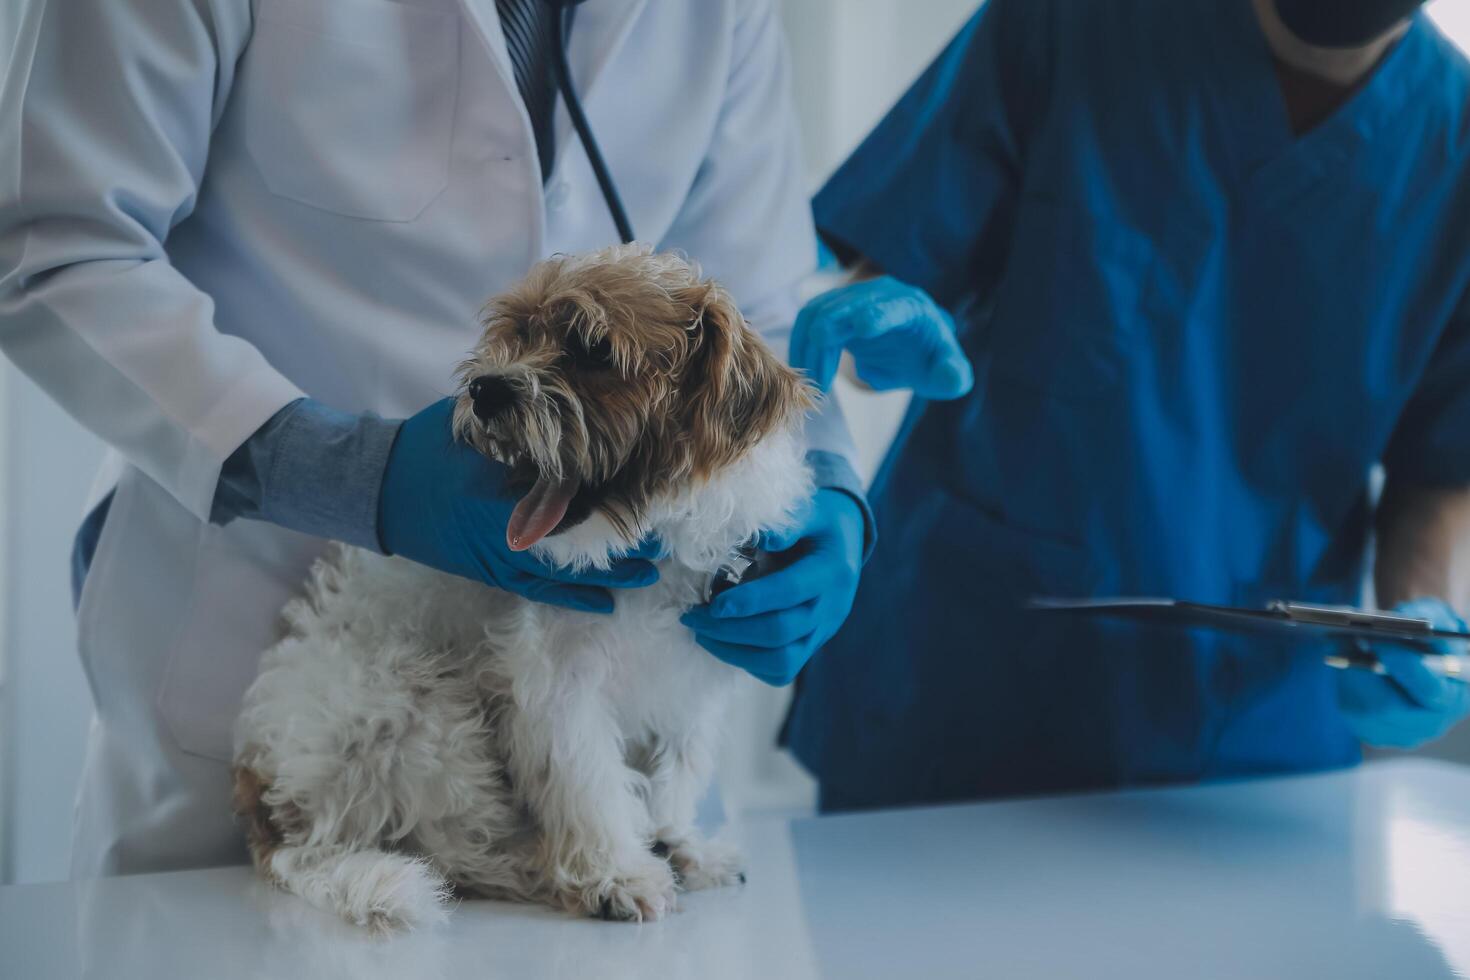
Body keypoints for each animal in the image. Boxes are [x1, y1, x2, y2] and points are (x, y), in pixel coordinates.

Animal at [232, 240, 817, 934]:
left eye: (594, 350)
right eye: (516, 335)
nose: (486, 388)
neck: (650, 542)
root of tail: (270, 809)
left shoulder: (691, 686)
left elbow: (675, 774)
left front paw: (677, 841)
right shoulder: (559, 687)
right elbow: (590, 783)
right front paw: (616, 873)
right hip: (421, 709)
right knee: (452, 848)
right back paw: (536, 867)